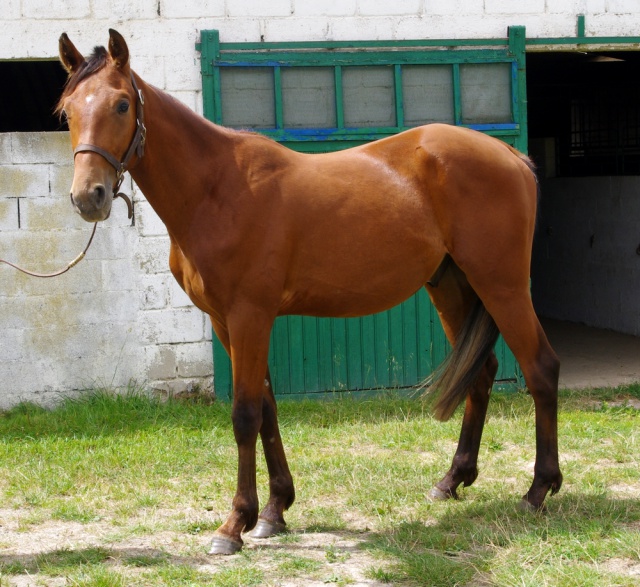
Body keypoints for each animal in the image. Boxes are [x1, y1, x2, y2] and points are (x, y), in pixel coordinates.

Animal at [58, 31, 560, 556]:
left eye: (121, 104)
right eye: (67, 111)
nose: (88, 197)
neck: (217, 189)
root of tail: (512, 157)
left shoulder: (250, 316)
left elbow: (244, 414)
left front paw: (233, 524)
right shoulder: (227, 321)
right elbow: (267, 409)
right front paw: (274, 511)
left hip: (502, 285)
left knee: (541, 368)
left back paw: (538, 489)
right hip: (451, 287)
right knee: (481, 373)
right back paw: (453, 479)